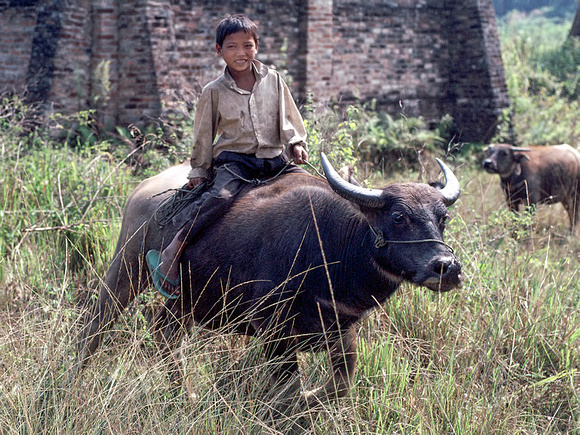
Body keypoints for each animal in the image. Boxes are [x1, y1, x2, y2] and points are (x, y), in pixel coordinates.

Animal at [75, 153, 462, 406]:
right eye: (398, 217)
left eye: (442, 217)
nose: (447, 267)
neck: (332, 241)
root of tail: (143, 190)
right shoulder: (274, 332)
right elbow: (289, 389)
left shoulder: (342, 328)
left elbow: (340, 383)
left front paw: (309, 399)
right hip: (127, 265)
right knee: (97, 324)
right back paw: (72, 377)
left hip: (185, 299)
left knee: (165, 336)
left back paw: (186, 393)